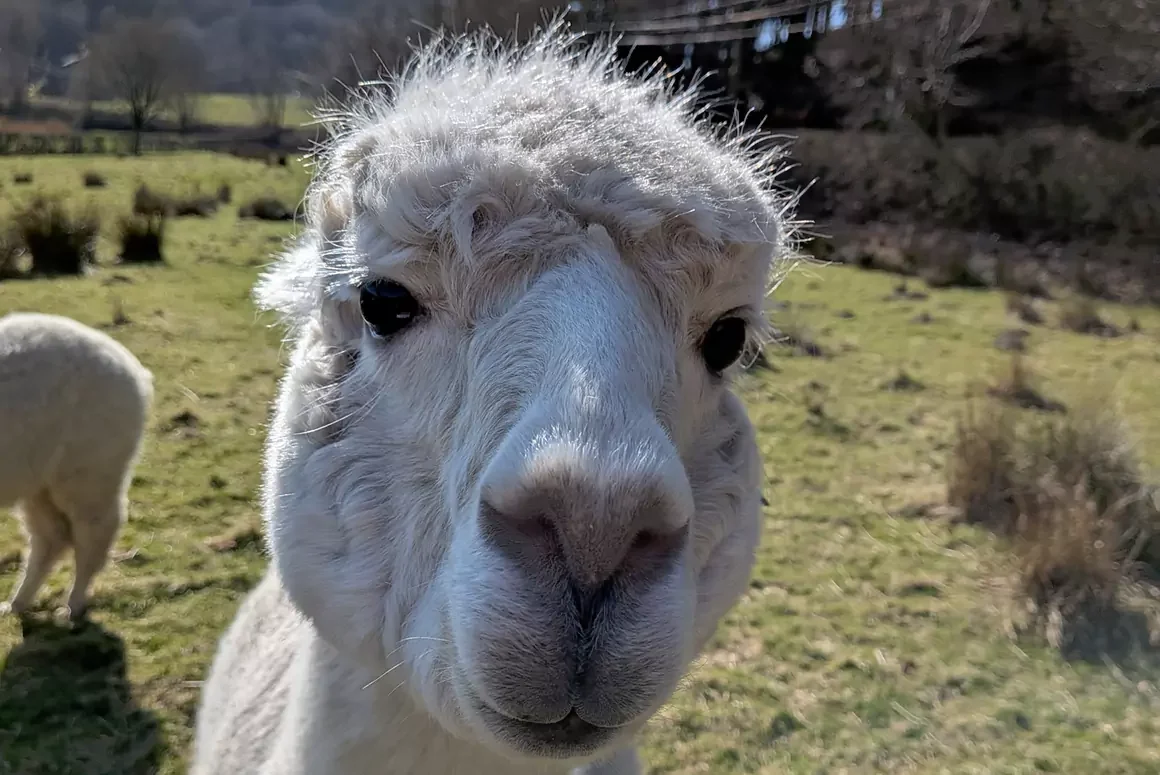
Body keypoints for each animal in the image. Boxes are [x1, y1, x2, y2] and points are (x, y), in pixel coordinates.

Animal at [0, 312, 152, 620]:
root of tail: (135, 371)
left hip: (89, 469)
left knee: (92, 533)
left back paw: (72, 607)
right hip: (38, 479)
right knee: (51, 538)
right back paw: (17, 604)